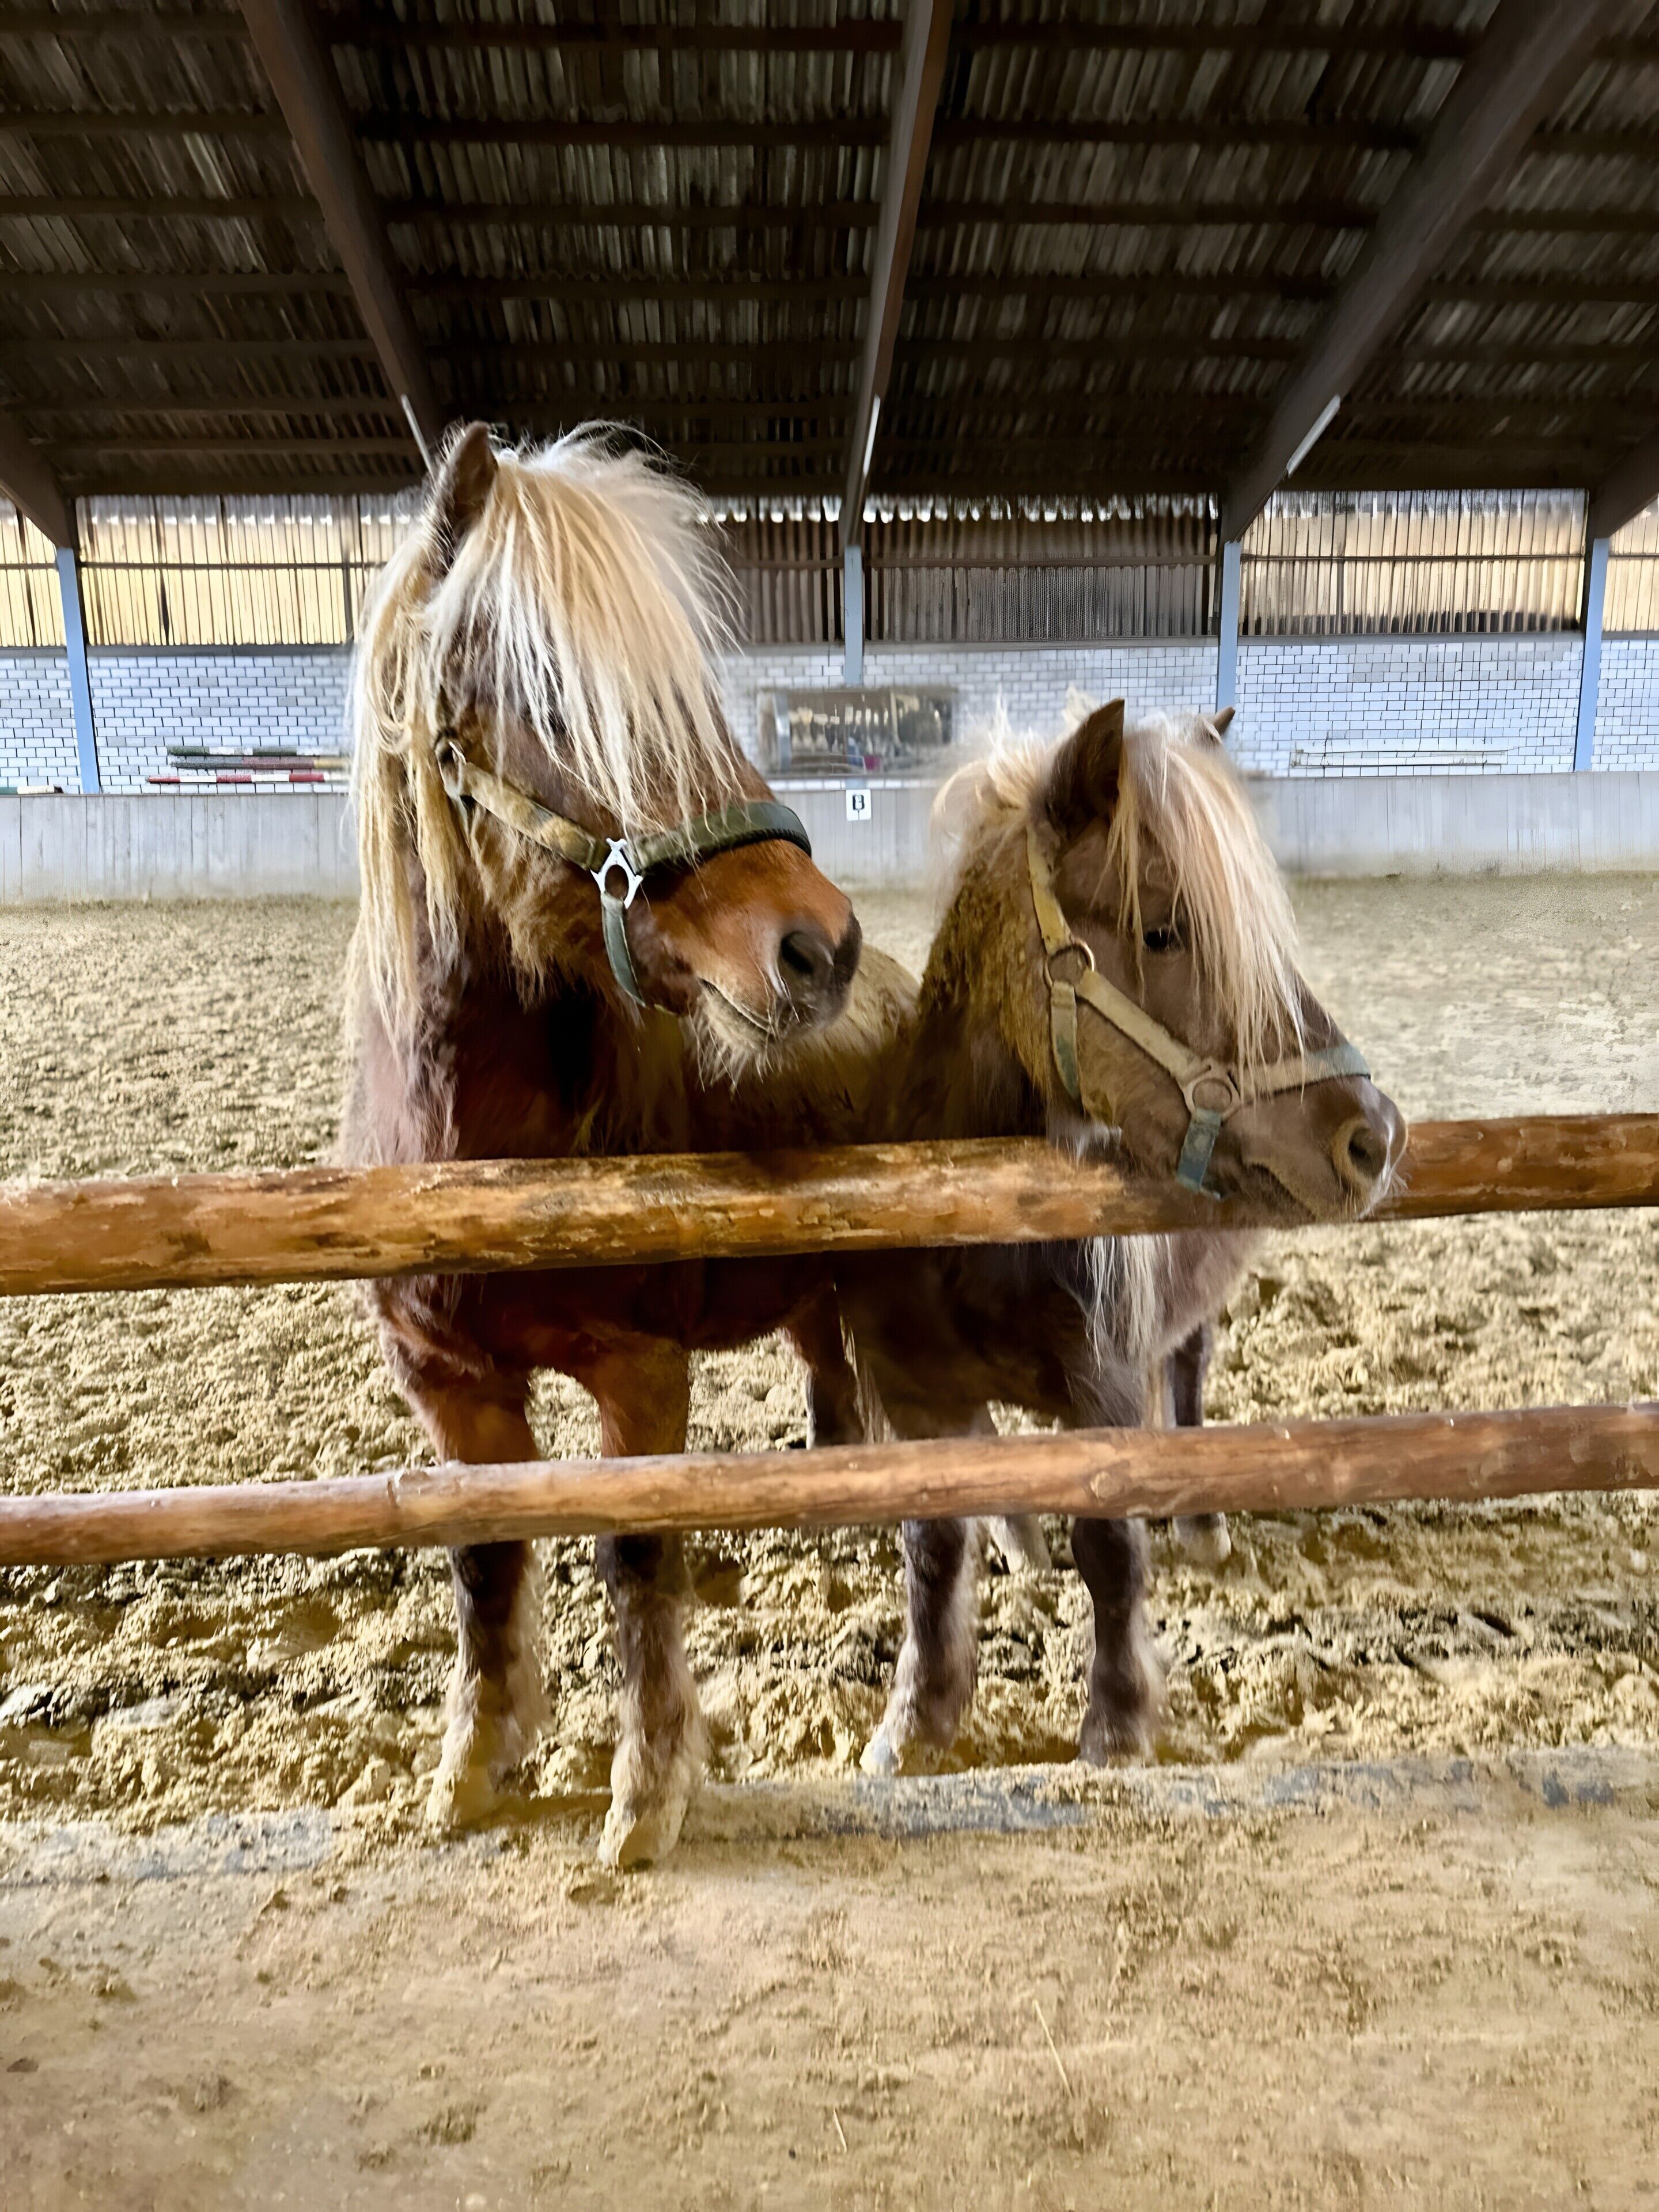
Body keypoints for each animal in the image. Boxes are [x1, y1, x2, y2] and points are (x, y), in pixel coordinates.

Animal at [339, 423, 906, 1865]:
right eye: (550, 698)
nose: (816, 947)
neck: (482, 1156)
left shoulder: (640, 1377)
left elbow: (636, 1558)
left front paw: (647, 1794)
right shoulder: (450, 1389)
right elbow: (487, 1562)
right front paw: (472, 1773)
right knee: (836, 1401)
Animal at [831, 698, 1406, 1773]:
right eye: (1164, 930)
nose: (1374, 1136)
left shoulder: (1103, 1386)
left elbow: (1110, 1549)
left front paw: (1118, 1722)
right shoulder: (918, 1396)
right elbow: (932, 1548)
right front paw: (917, 1717)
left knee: (1187, 1379)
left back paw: (1202, 1524)